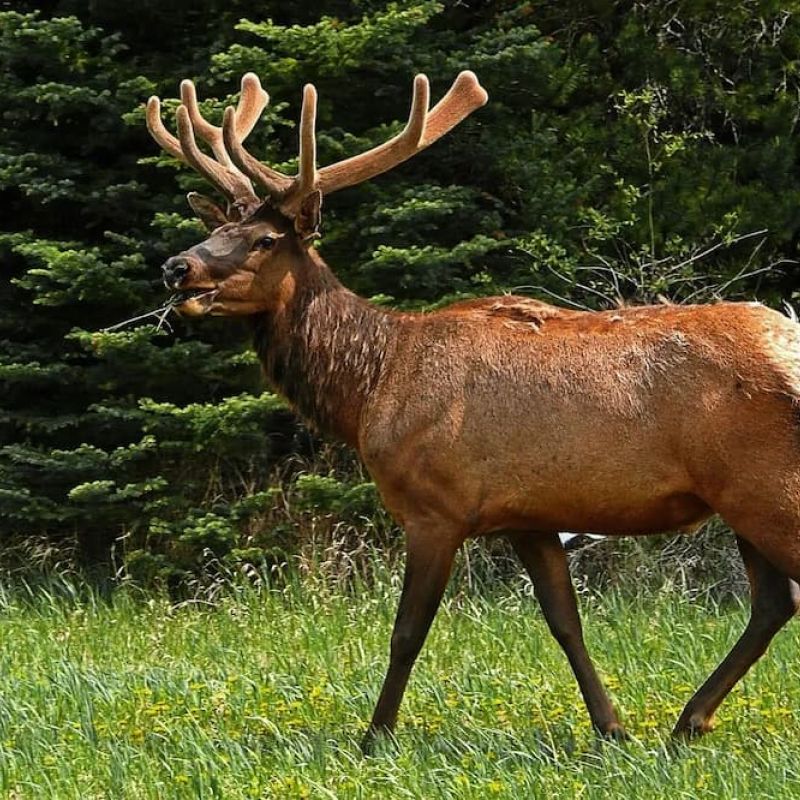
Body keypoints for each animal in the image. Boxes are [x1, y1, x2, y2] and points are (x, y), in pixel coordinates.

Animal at [146, 70, 800, 752]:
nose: (175, 266)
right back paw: (687, 722)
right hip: (739, 496)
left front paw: (374, 739)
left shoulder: (436, 507)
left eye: (265, 239)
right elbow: (565, 621)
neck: (370, 387)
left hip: (765, 485)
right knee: (774, 603)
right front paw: (612, 729)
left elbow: (408, 632)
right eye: (217, 228)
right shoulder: (528, 514)